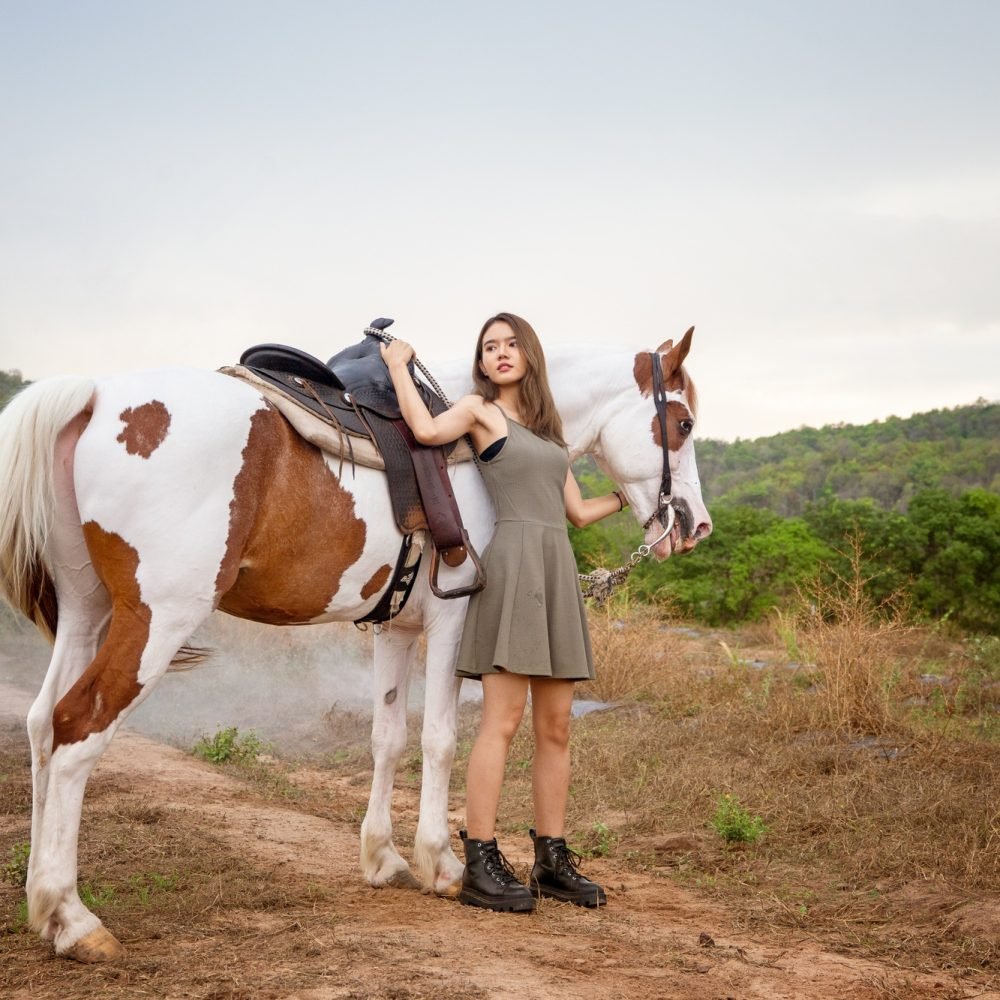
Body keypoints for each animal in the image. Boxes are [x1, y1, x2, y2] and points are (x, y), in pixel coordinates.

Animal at [0, 324, 712, 956]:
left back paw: (41, 904)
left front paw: (384, 859)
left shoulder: (394, 630)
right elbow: (440, 739)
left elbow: (387, 737)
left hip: (87, 611)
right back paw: (74, 918)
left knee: (41, 725)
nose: (694, 526)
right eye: (682, 425)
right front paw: (443, 865)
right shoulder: (454, 621)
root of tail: (95, 395)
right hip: (155, 619)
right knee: (78, 729)